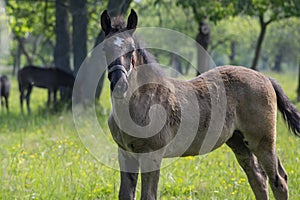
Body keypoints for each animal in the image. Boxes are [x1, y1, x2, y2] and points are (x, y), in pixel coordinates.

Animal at [101, 8, 300, 199]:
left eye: (131, 50)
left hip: (262, 141)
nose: (120, 84)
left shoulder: (152, 155)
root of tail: (265, 77)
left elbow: (148, 196)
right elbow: (125, 195)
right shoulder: (125, 154)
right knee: (258, 178)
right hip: (239, 142)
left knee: (279, 180)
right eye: (105, 49)